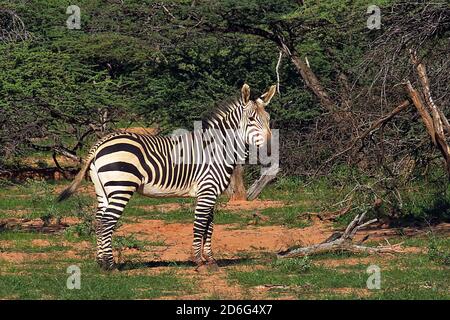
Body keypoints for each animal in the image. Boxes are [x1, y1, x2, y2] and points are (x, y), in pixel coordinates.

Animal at [58, 84, 276, 272]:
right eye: (251, 119)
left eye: (268, 118)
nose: (270, 149)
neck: (218, 149)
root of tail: (101, 142)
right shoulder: (207, 191)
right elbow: (200, 225)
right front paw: (199, 261)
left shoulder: (210, 193)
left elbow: (209, 226)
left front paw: (211, 260)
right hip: (121, 186)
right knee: (107, 221)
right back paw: (110, 266)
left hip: (103, 189)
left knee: (99, 220)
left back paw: (101, 262)